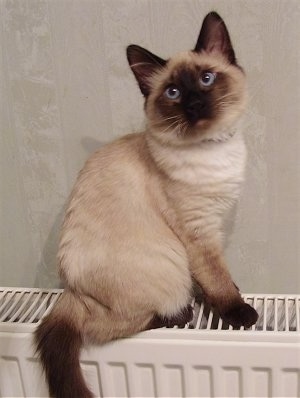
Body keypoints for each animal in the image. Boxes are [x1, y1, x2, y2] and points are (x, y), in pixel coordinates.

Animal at [35, 12, 258, 398]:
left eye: (206, 79)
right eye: (173, 92)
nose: (194, 105)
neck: (211, 150)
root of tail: (70, 290)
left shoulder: (212, 225)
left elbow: (214, 277)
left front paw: (232, 291)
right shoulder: (198, 232)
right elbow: (215, 277)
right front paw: (238, 311)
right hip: (168, 264)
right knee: (101, 328)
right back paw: (180, 315)